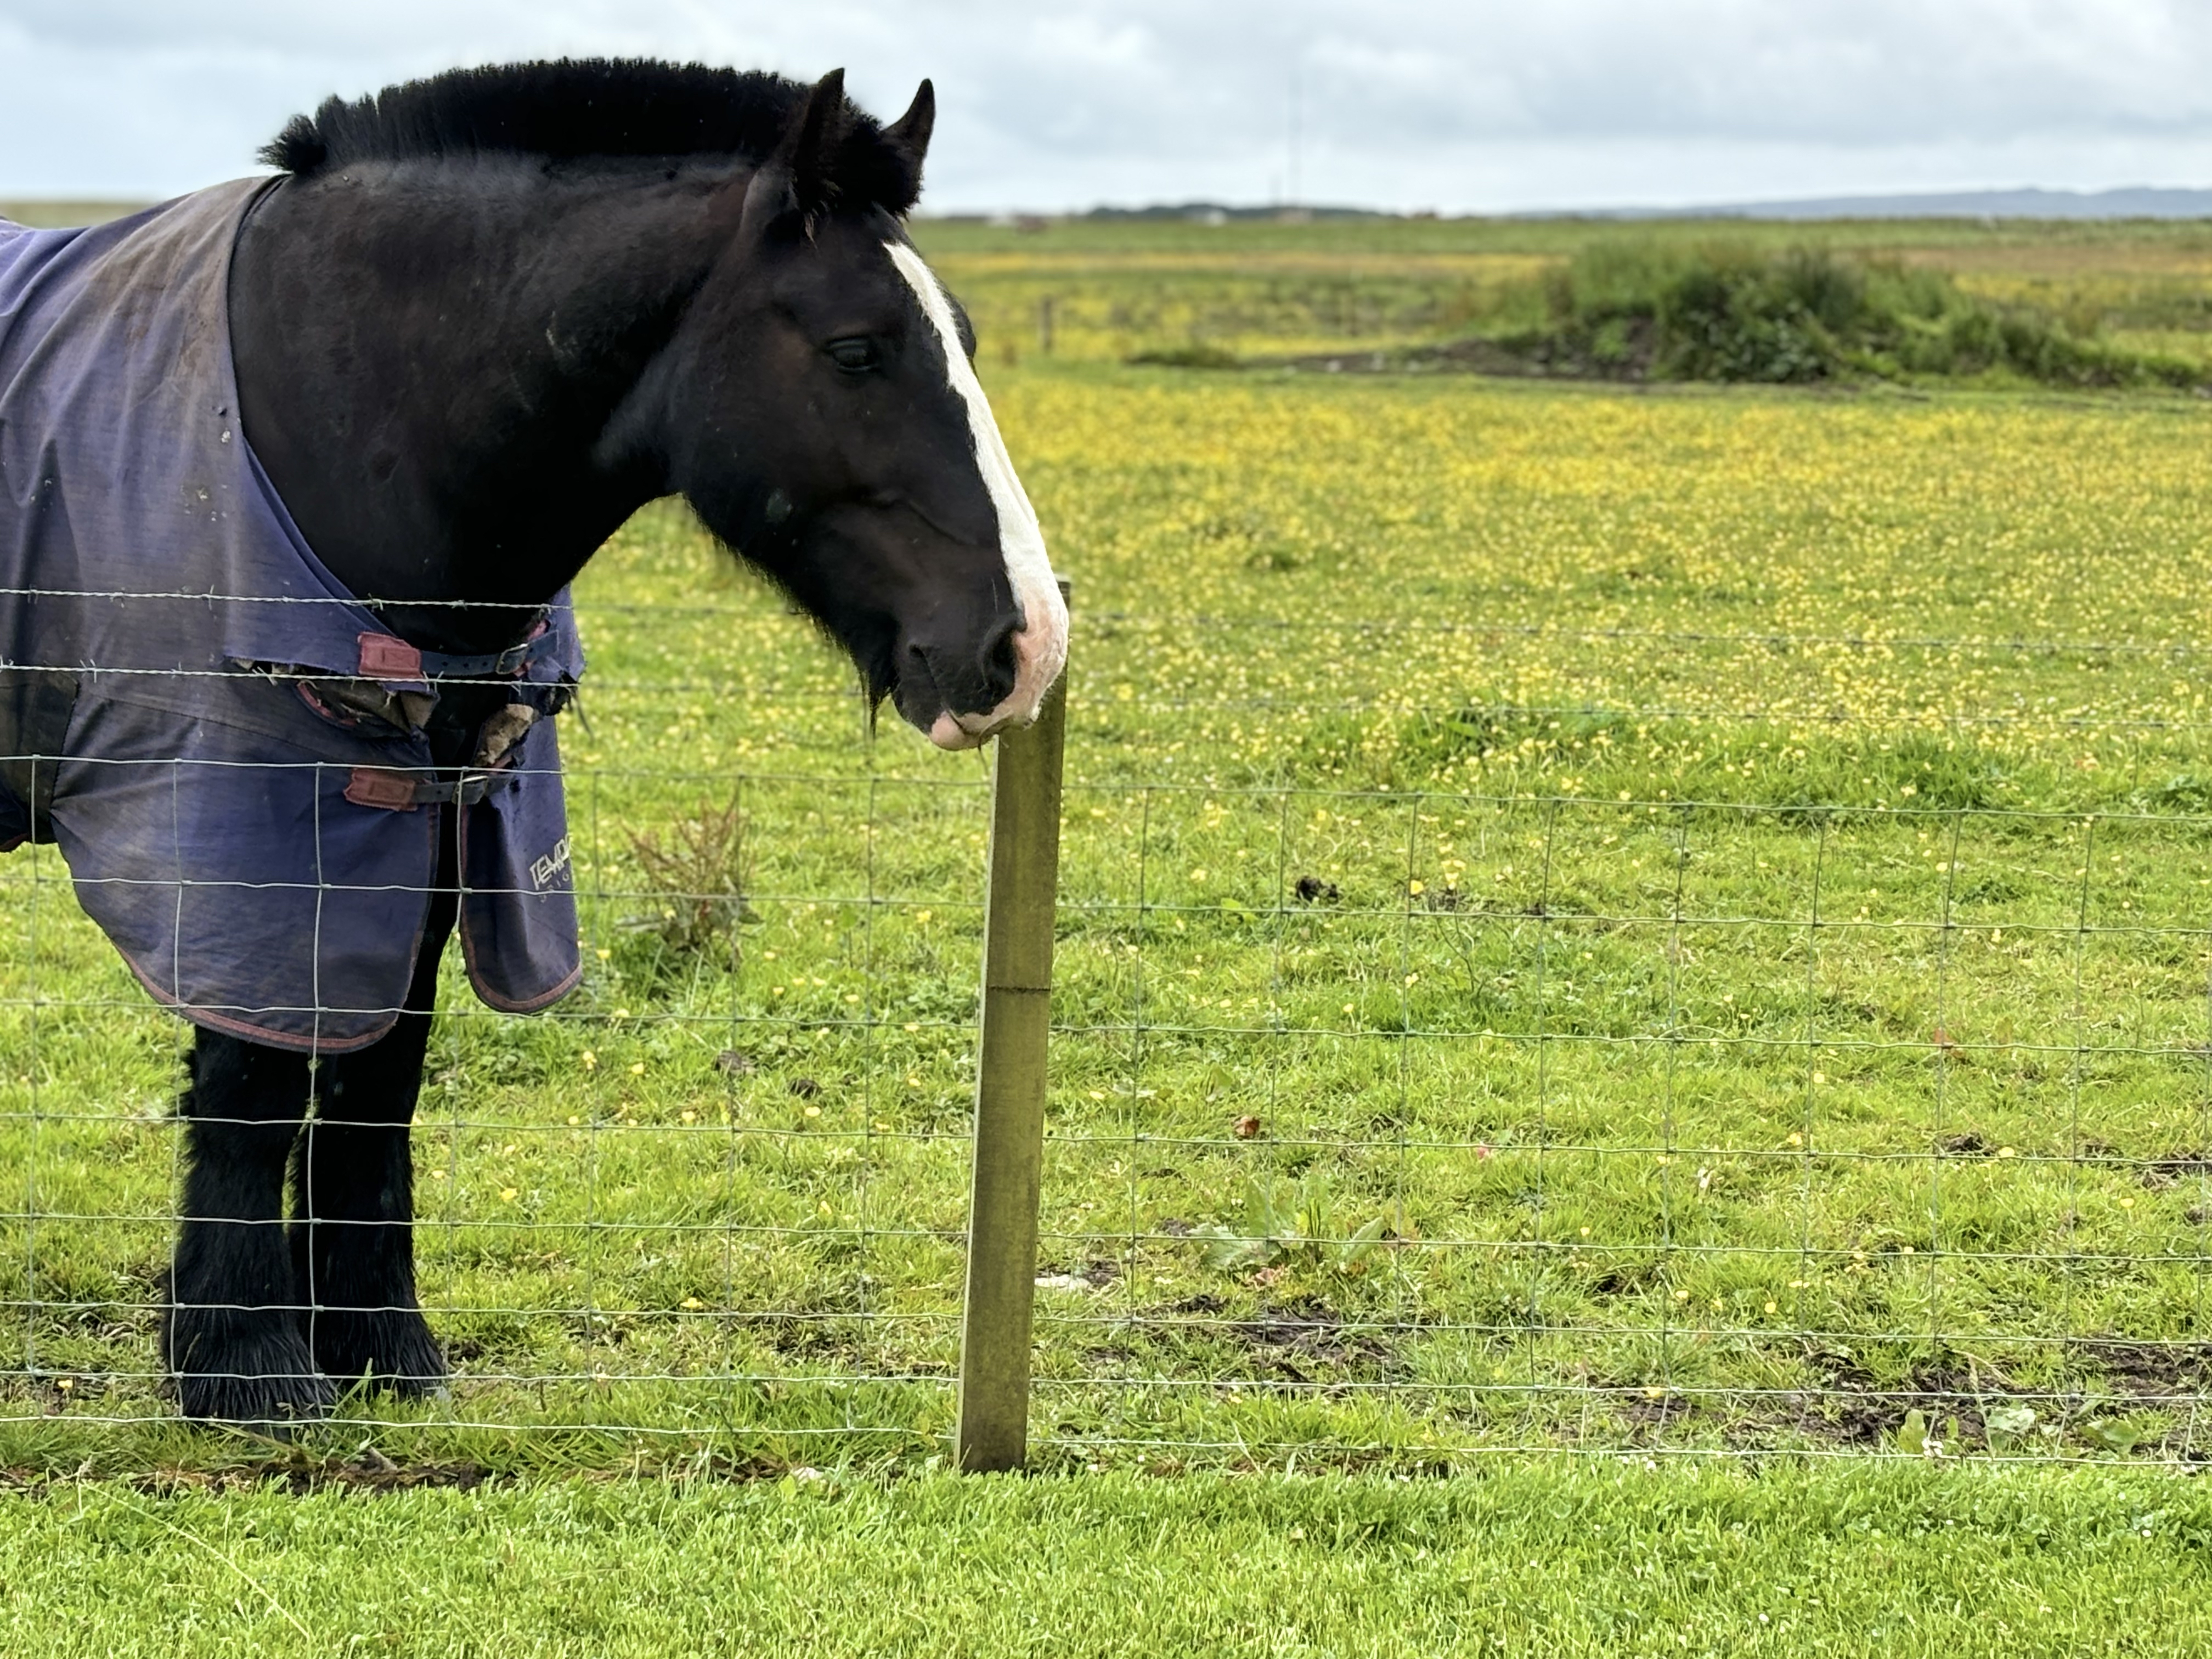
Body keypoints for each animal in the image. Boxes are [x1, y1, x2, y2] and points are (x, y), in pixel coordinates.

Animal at [0, 60, 1067, 1429]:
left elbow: (377, 1077)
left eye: (968, 343)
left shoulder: (431, 824)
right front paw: (247, 1365)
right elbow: (253, 1079)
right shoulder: (243, 832)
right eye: (855, 349)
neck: (338, 410)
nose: (1022, 643)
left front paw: (380, 1344)